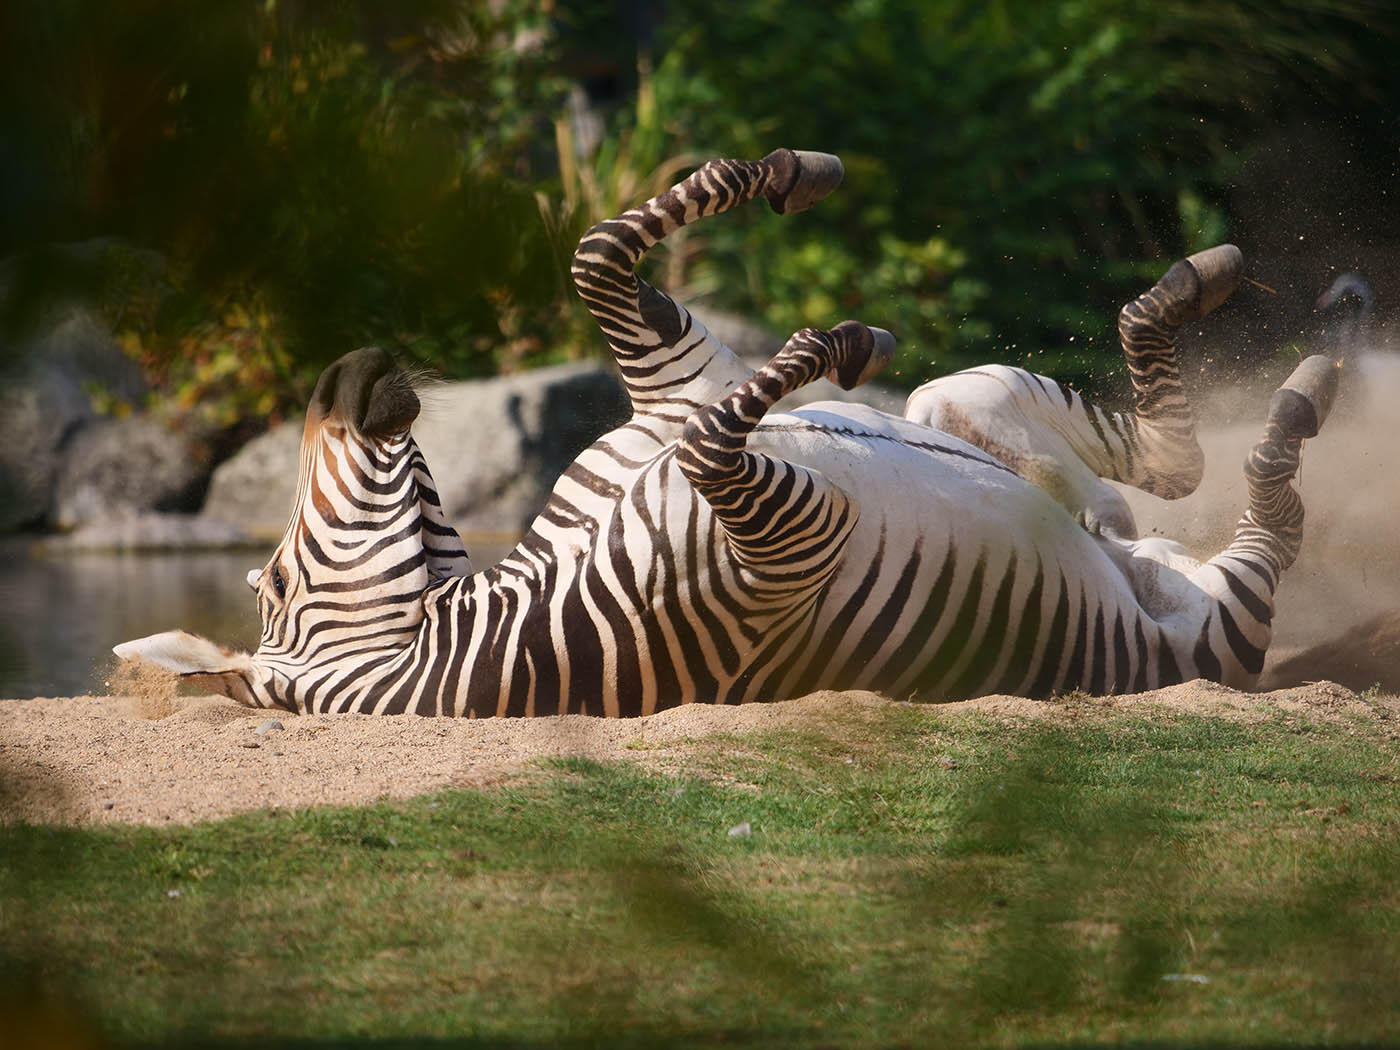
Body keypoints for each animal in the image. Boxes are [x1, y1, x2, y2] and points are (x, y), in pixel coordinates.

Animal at [114, 148, 1338, 722]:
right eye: (279, 580)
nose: (340, 369)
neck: (508, 603)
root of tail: (1142, 569)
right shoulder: (778, 542)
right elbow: (715, 433)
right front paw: (831, 338)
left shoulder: (665, 395)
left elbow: (597, 257)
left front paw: (790, 180)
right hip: (1213, 616)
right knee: (1258, 501)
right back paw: (1297, 391)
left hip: (966, 407)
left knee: (1122, 461)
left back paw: (1191, 303)